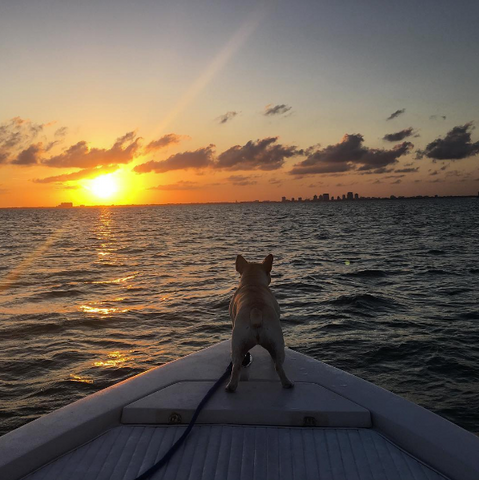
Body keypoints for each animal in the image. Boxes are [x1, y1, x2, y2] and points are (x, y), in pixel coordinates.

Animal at [227, 253, 294, 392]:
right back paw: (287, 383)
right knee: (278, 364)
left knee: (236, 366)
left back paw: (231, 387)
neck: (252, 282)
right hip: (277, 342)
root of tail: (255, 312)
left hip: (238, 343)